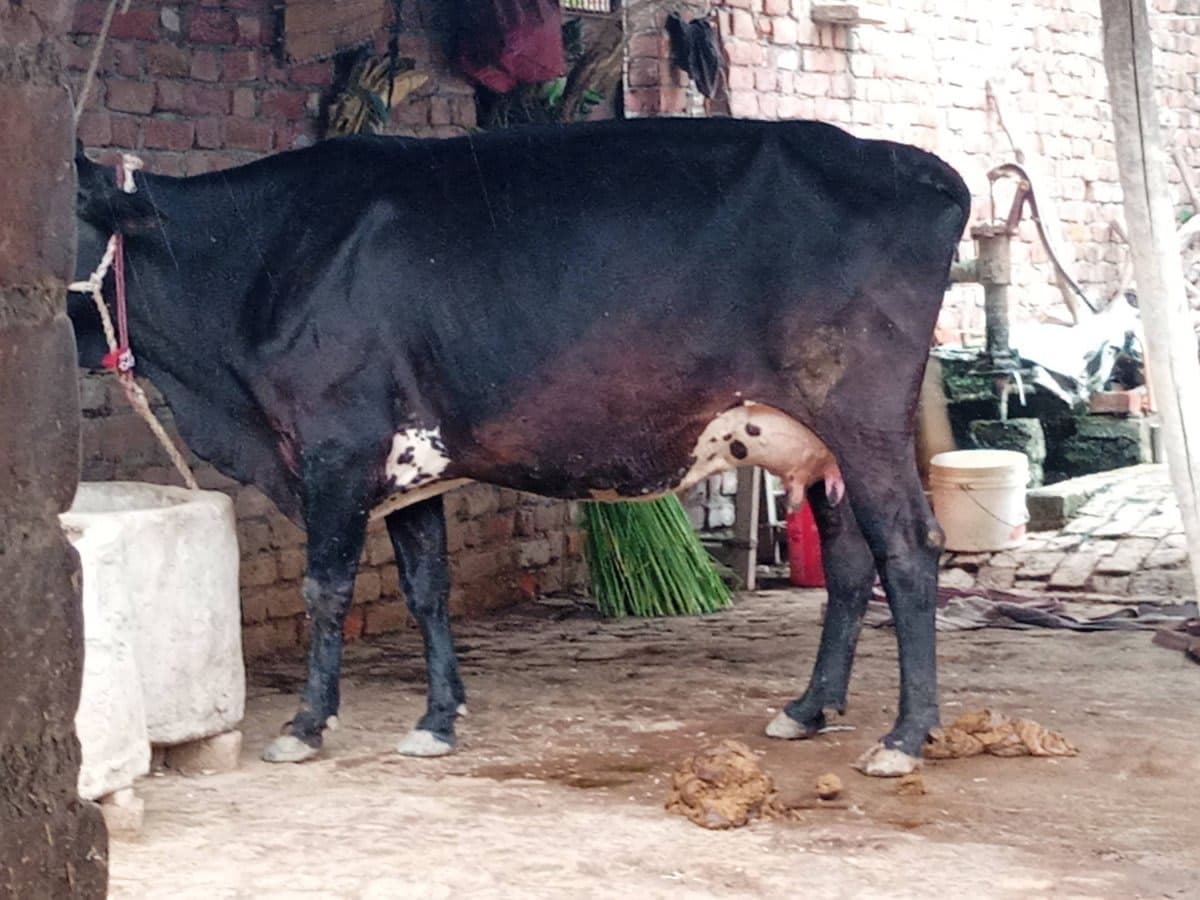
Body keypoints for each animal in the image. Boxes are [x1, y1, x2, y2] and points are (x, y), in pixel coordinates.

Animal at [70, 118, 970, 776]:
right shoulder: (411, 463)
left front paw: (305, 725)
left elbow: (325, 587)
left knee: (910, 549)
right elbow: (426, 588)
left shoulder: (337, 444)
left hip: (863, 421)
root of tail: (917, 166)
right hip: (813, 447)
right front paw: (439, 718)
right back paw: (809, 709)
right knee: (851, 561)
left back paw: (904, 737)